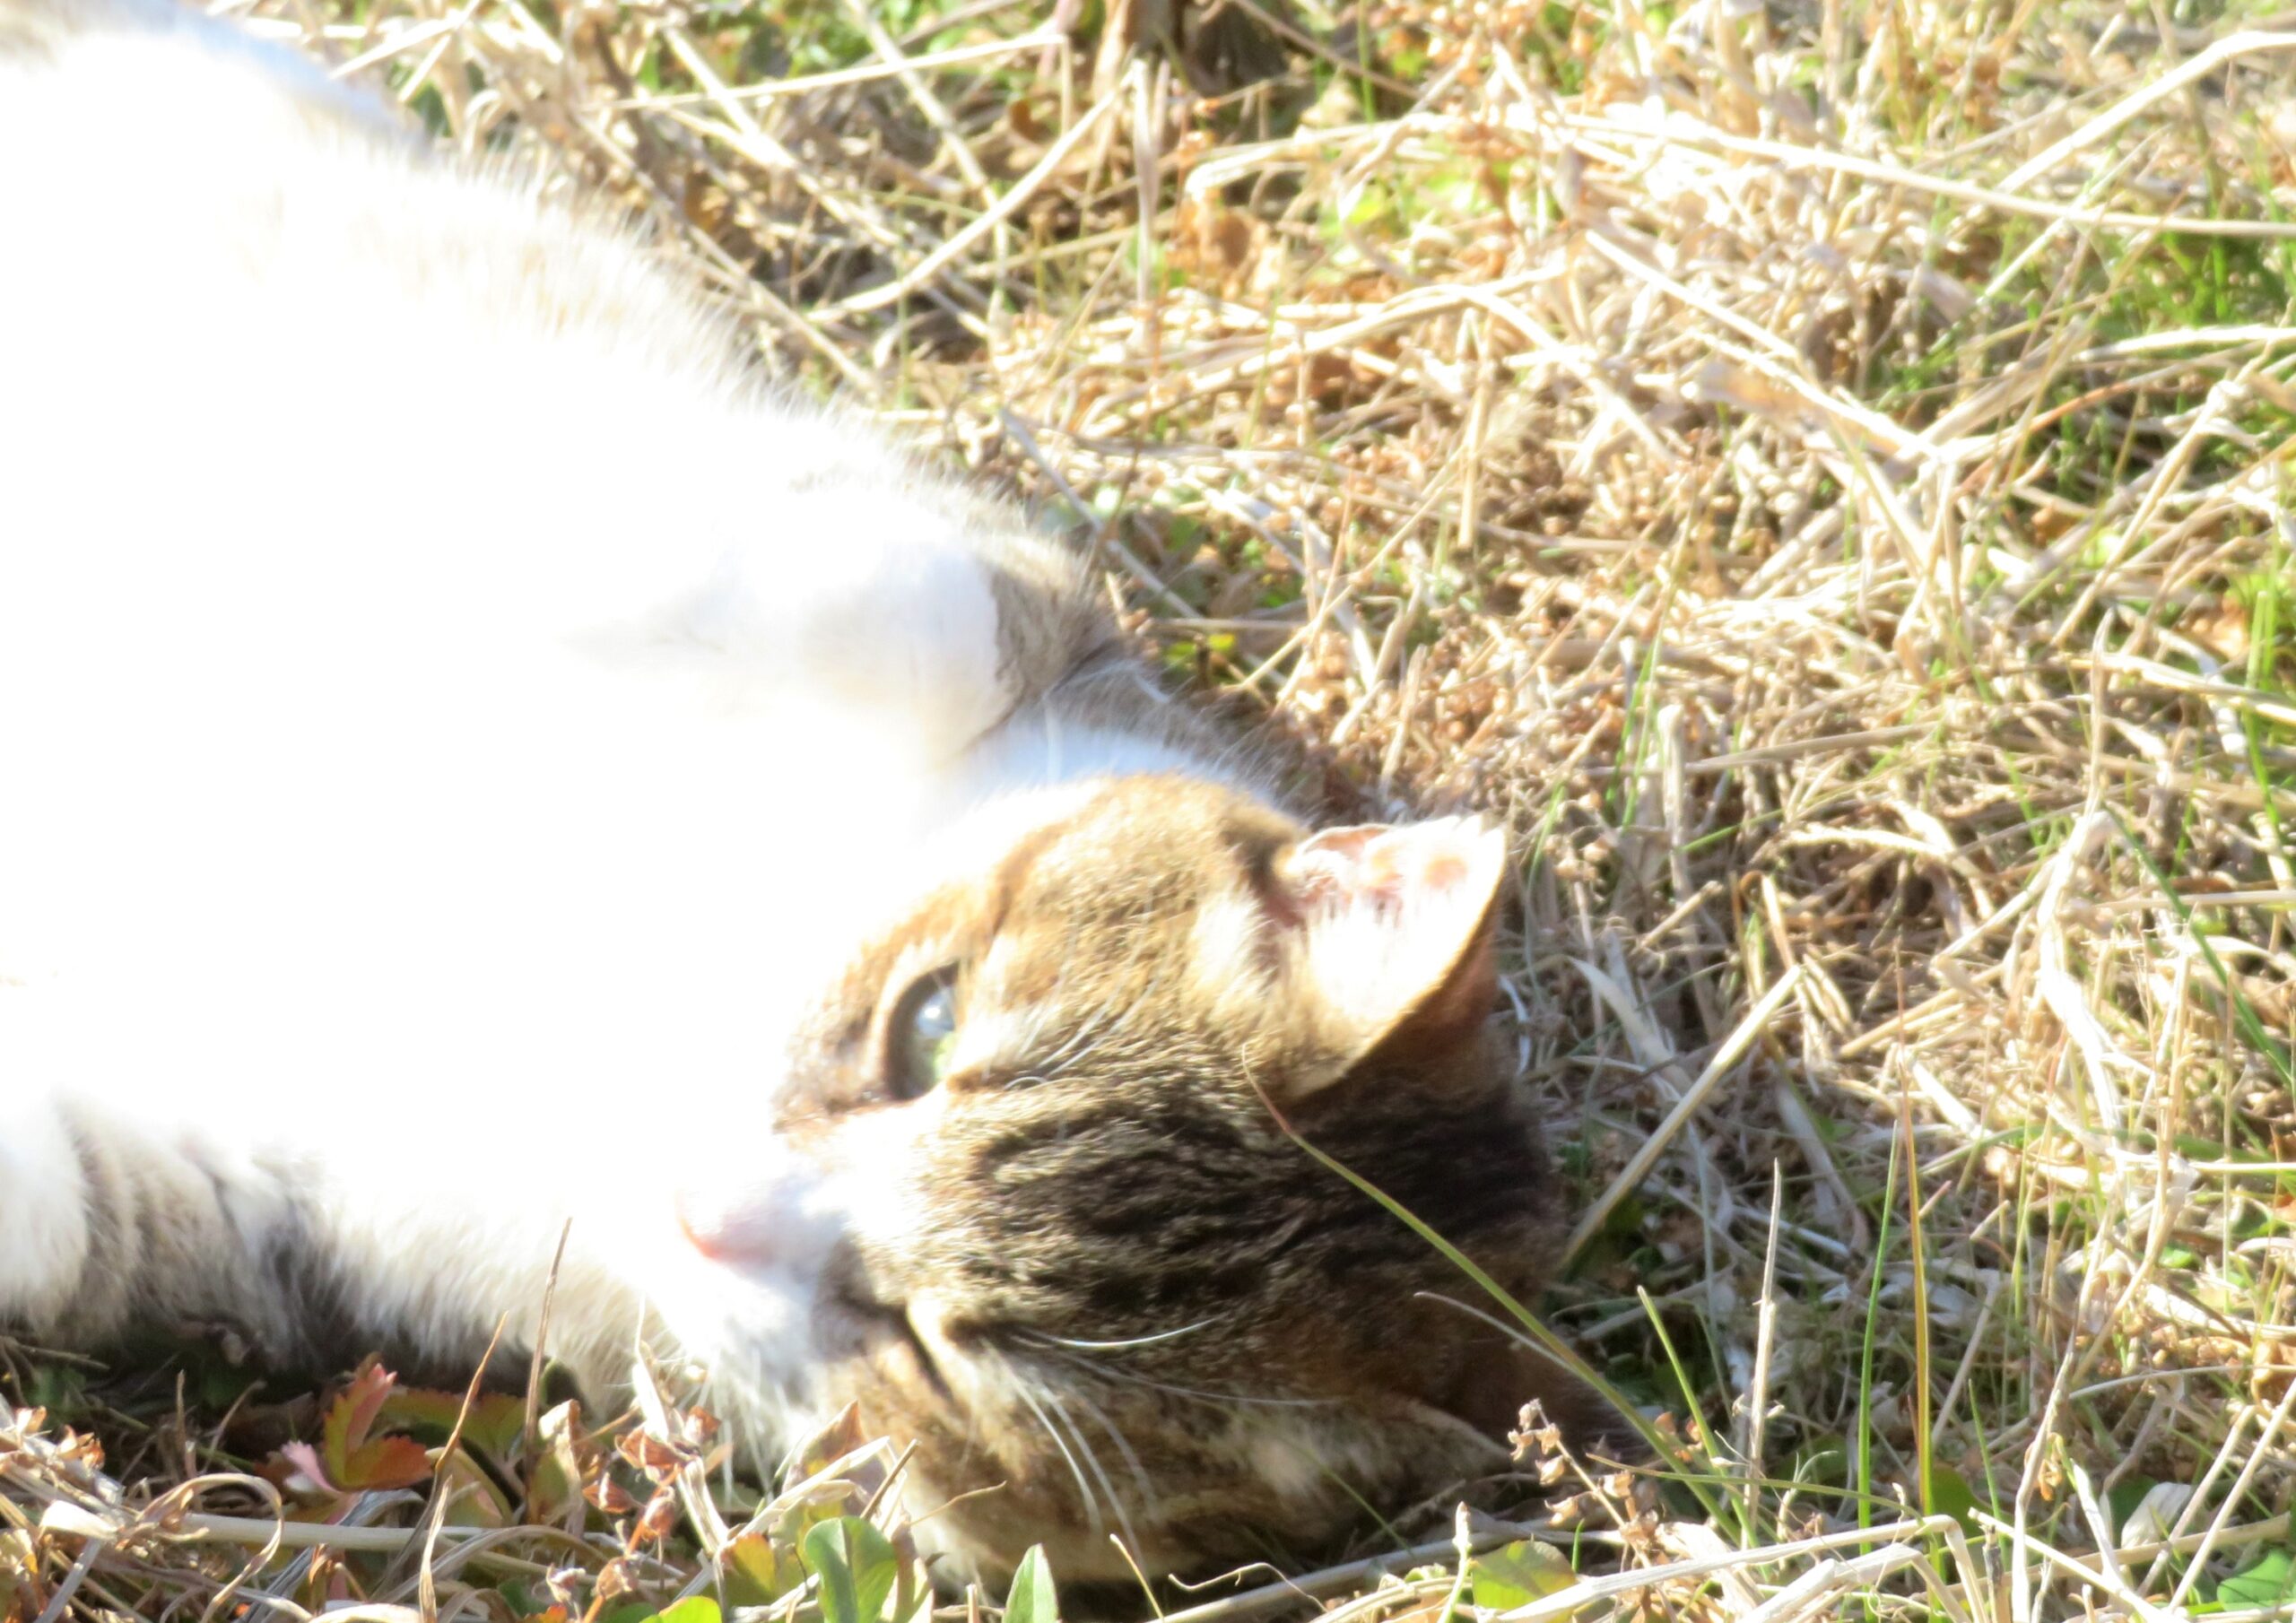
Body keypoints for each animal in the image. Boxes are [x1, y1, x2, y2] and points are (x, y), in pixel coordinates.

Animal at [0, 0, 1616, 1597]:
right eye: (931, 1025)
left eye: (936, 1348)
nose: (710, 1211)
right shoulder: (990, 597)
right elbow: (851, 580)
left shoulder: (252, 1198)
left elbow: (70, 1205)